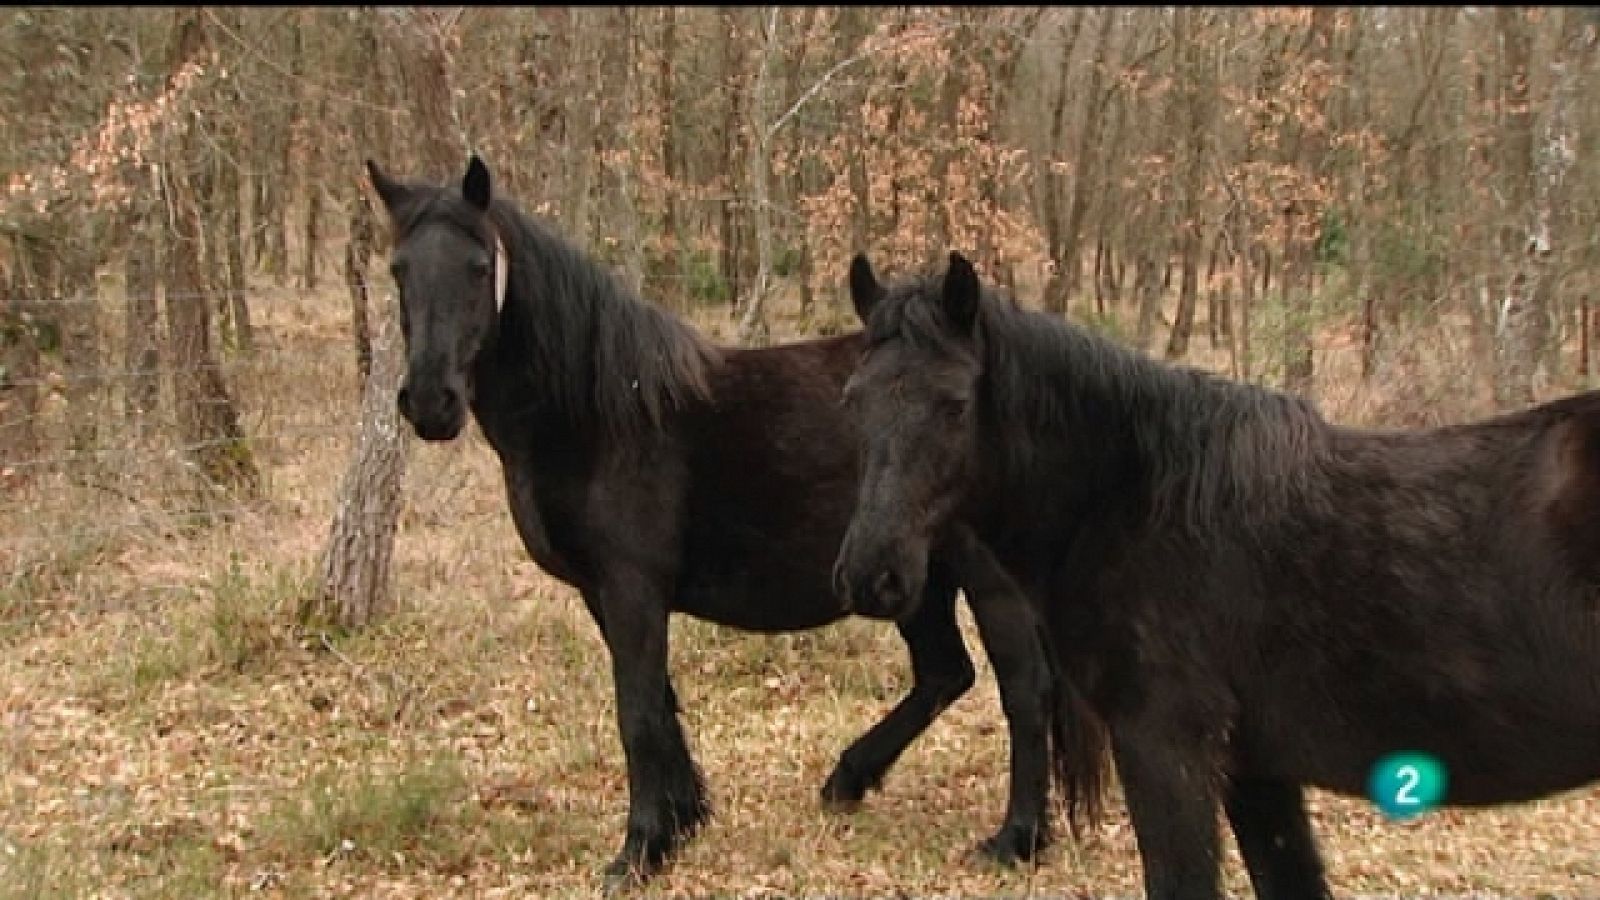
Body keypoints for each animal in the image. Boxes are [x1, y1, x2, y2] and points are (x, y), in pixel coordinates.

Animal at [363, 157, 1107, 890]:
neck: (603, 414)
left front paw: (638, 851)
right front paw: (680, 822)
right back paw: (848, 780)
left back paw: (1017, 839)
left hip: (984, 580)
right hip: (908, 576)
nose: (429, 402)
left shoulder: (632, 587)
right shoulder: (605, 594)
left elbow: (637, 710)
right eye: (398, 269)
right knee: (946, 673)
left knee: (1023, 690)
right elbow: (659, 701)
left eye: (477, 268)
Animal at [834, 250, 1600, 900]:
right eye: (853, 398)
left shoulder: (1167, 753)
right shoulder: (1258, 772)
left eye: (955, 404)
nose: (873, 573)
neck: (1139, 499)